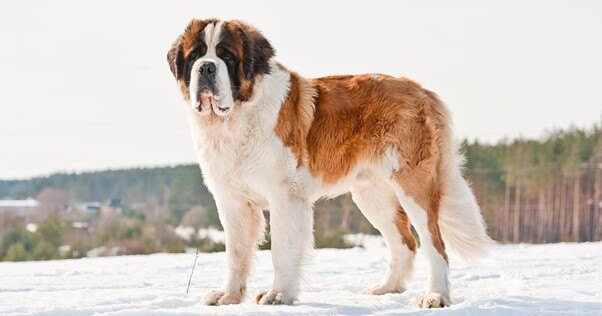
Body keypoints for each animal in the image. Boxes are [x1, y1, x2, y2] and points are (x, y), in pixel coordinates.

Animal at [166, 18, 490, 308]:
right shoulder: (233, 202)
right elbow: (235, 255)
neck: (234, 118)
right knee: (405, 243)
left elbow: (281, 250)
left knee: (434, 245)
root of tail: (422, 90)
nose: (206, 67)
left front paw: (278, 295)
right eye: (195, 56)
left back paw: (436, 296)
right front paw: (229, 297)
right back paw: (386, 289)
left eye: (227, 56)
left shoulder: (285, 196)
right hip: (372, 196)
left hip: (413, 186)